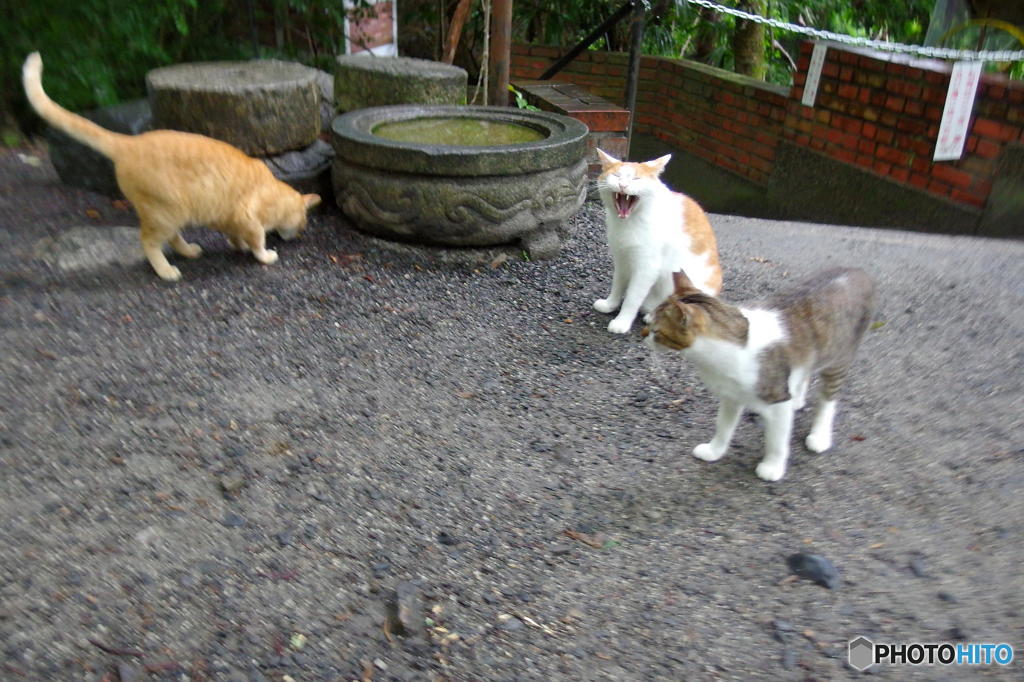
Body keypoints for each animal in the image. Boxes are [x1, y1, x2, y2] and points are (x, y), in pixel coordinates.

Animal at [24, 51, 319, 280]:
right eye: (303, 223)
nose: (299, 234)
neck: (274, 192)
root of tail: (130, 141)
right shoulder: (247, 217)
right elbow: (257, 238)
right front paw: (264, 255)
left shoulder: (227, 218)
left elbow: (237, 237)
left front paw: (240, 246)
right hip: (165, 213)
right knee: (148, 242)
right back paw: (166, 271)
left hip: (173, 213)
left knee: (172, 238)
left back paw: (188, 252)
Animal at [593, 148, 720, 331]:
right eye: (616, 175)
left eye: (636, 178)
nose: (623, 185)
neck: (628, 223)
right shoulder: (622, 259)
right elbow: (617, 285)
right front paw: (610, 304)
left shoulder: (647, 268)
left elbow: (632, 297)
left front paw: (622, 322)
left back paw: (654, 316)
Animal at [647, 266, 872, 477]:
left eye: (656, 331)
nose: (642, 335)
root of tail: (856, 271)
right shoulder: (731, 395)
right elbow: (723, 425)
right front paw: (714, 450)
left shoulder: (777, 400)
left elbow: (776, 440)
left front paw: (772, 467)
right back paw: (797, 399)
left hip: (839, 359)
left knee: (828, 399)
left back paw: (820, 435)